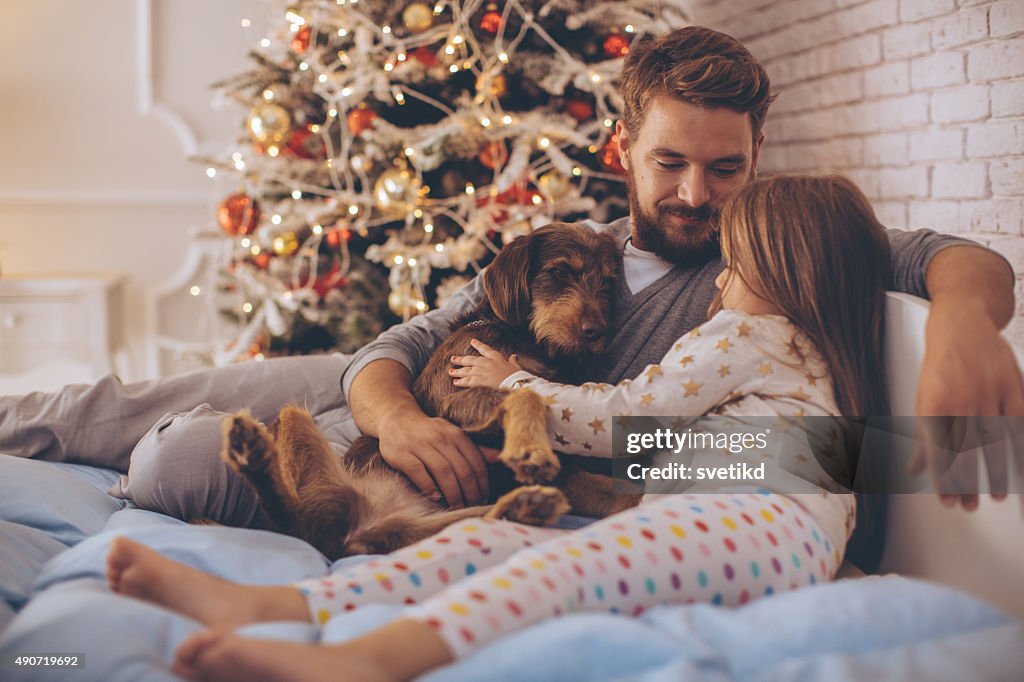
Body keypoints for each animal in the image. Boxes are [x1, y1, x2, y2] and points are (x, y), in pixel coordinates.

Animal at [222, 223, 638, 557]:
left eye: (607, 282)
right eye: (561, 271)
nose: (596, 332)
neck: (523, 338)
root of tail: (354, 538)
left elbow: (610, 491)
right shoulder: (457, 397)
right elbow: (527, 393)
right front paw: (529, 447)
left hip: (441, 524)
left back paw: (524, 506)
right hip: (293, 418)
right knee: (294, 522)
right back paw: (253, 455)